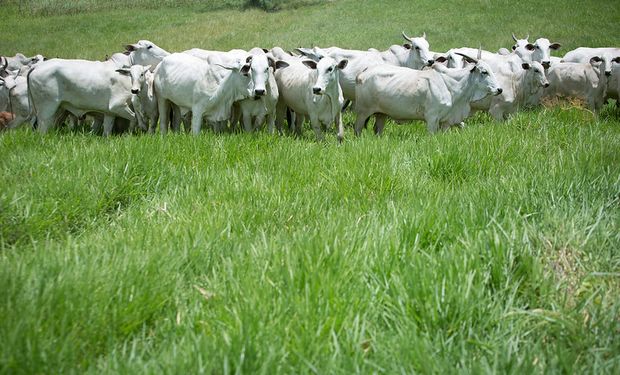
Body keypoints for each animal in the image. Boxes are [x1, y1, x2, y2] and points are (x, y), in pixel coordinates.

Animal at [354, 53, 504, 135]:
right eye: (484, 72)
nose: (499, 89)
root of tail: (363, 72)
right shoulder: (432, 118)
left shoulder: (446, 121)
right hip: (362, 112)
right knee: (357, 129)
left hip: (381, 114)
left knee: (377, 129)